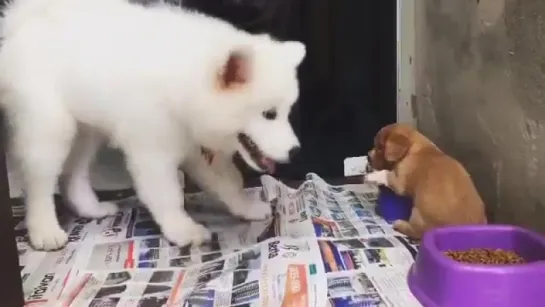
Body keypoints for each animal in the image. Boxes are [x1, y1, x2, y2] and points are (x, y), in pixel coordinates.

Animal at [0, 0, 304, 251]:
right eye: (269, 114)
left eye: (287, 112)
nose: (295, 152)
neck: (185, 84)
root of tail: (20, 21)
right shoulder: (153, 149)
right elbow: (167, 193)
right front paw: (183, 230)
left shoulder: (194, 143)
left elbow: (229, 181)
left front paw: (246, 208)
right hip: (50, 124)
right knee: (39, 180)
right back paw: (44, 230)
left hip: (86, 126)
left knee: (73, 173)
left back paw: (90, 208)